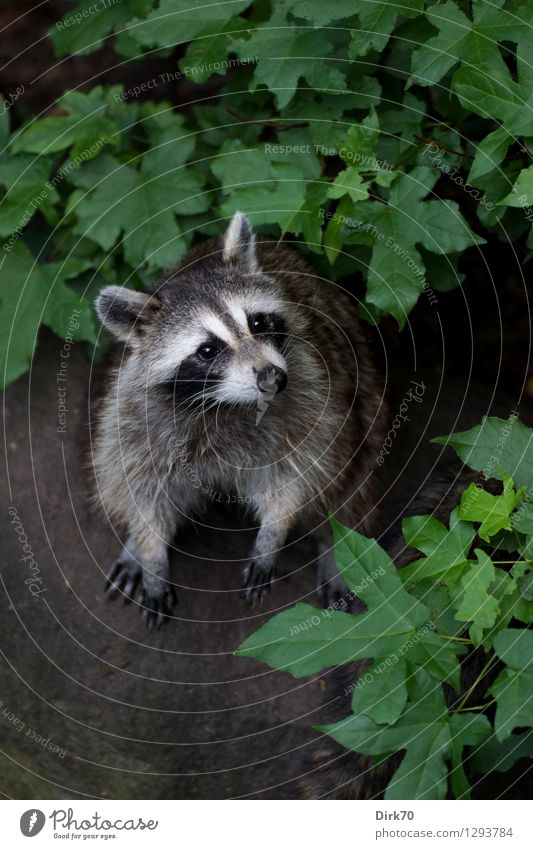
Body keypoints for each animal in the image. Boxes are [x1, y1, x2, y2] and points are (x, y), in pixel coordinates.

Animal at [90, 210, 382, 628]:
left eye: (258, 323)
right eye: (207, 350)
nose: (273, 379)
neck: (224, 404)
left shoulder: (311, 392)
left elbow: (299, 471)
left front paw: (272, 535)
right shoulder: (138, 412)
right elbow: (140, 484)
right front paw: (150, 553)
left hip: (365, 397)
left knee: (354, 482)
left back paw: (335, 547)